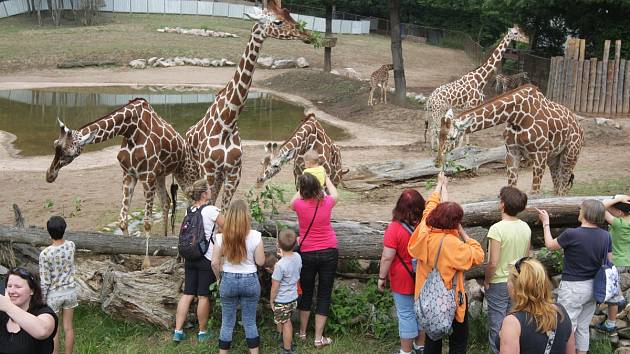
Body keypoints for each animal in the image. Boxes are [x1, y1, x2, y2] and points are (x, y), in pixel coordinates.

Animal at [46, 97, 200, 235]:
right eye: (55, 144)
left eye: (69, 153)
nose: (50, 175)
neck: (130, 130)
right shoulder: (129, 174)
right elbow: (122, 221)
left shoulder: (147, 177)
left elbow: (147, 223)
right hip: (160, 176)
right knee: (166, 201)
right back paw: (164, 236)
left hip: (186, 174)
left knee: (192, 201)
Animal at [186, 0, 314, 207]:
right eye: (278, 21)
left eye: (289, 14)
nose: (307, 35)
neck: (227, 122)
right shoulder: (209, 170)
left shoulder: (233, 173)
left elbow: (223, 209)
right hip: (195, 168)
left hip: (218, 175)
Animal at [436, 84, 584, 196]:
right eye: (438, 135)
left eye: (452, 137)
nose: (438, 161)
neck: (517, 116)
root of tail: (579, 127)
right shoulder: (512, 152)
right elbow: (512, 185)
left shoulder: (540, 153)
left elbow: (534, 192)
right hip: (553, 158)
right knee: (557, 187)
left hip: (569, 155)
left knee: (563, 188)